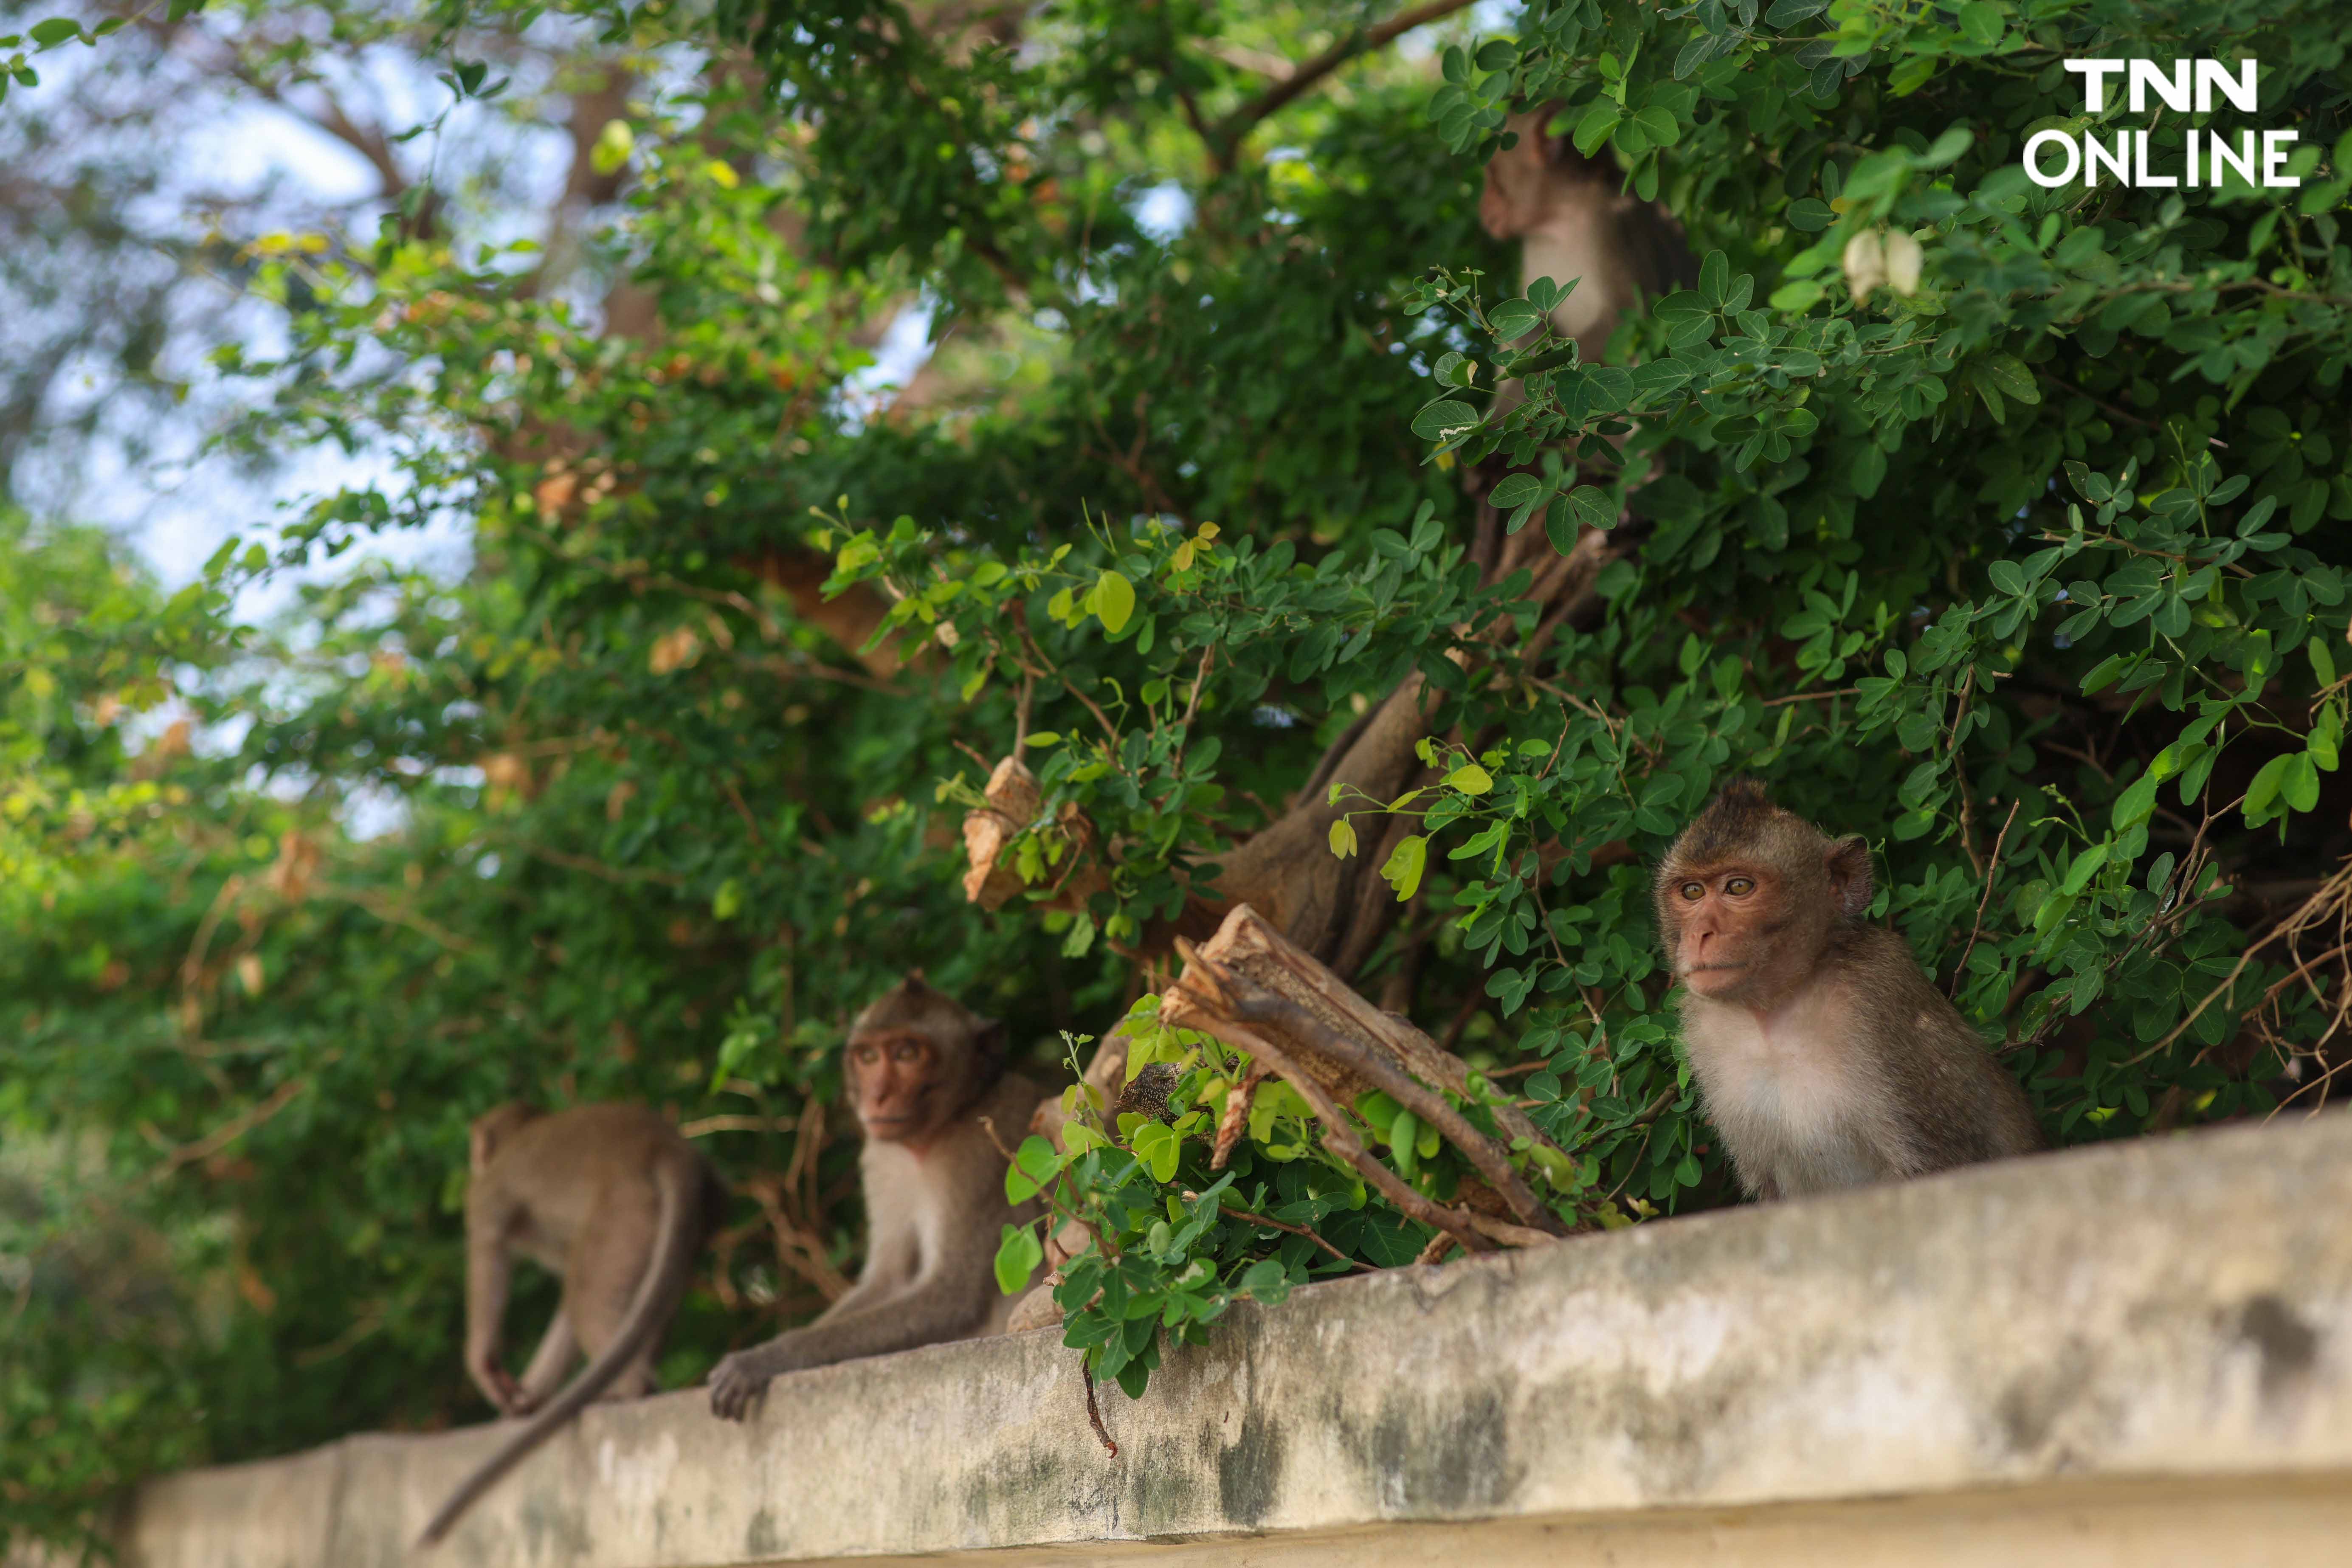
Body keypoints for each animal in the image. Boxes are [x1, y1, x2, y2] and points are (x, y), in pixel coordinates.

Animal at [418, 1105, 719, 1542]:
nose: (475, 1158)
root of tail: (663, 1145)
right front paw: (524, 1402)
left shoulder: (487, 1192)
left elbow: (489, 1248)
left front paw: (484, 1364)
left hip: (622, 1215)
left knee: (587, 1296)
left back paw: (630, 1387)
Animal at [701, 968, 1044, 1420]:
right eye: (867, 1058)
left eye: (906, 1053)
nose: (877, 1095)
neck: (938, 1130)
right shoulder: (882, 1158)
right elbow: (889, 1279)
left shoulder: (984, 1155)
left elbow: (953, 1291)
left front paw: (767, 1357)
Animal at [1656, 780, 2041, 1203]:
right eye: (1692, 892)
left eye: (1738, 887)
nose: (1700, 933)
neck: (1777, 1010)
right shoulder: (1705, 1031)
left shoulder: (1877, 1002)